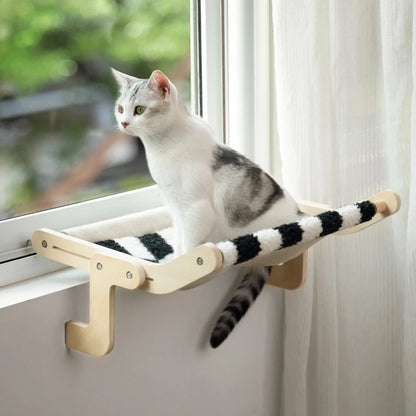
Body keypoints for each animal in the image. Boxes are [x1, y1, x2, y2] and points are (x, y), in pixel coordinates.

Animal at [111, 69, 302, 348]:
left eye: (139, 110)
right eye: (120, 108)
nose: (124, 123)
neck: (162, 147)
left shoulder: (195, 208)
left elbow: (191, 243)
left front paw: (183, 263)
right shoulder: (175, 206)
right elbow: (180, 238)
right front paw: (174, 258)